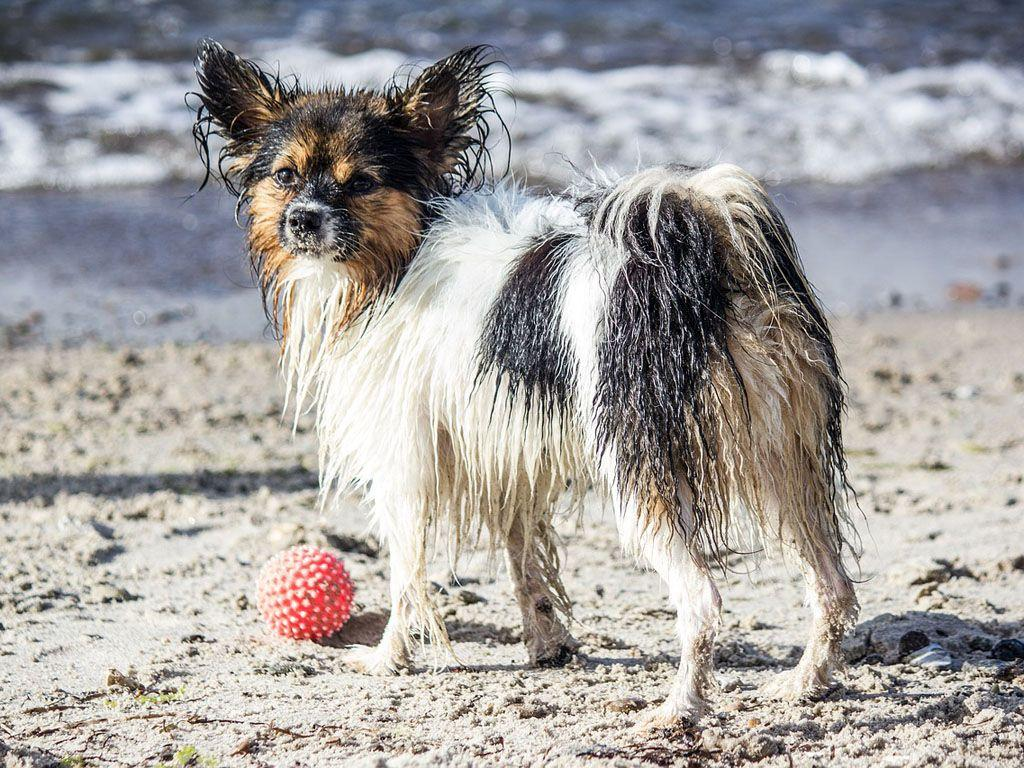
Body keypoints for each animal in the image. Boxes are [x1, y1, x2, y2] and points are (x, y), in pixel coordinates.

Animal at [190, 40, 856, 729]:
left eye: (361, 183)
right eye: (285, 176)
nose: (303, 220)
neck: (395, 261)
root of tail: (699, 268)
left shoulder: (406, 459)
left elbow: (406, 574)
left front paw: (387, 659)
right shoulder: (509, 444)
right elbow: (521, 553)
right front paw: (546, 642)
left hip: (644, 474)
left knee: (702, 599)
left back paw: (680, 707)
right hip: (782, 459)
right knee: (833, 585)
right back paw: (803, 683)